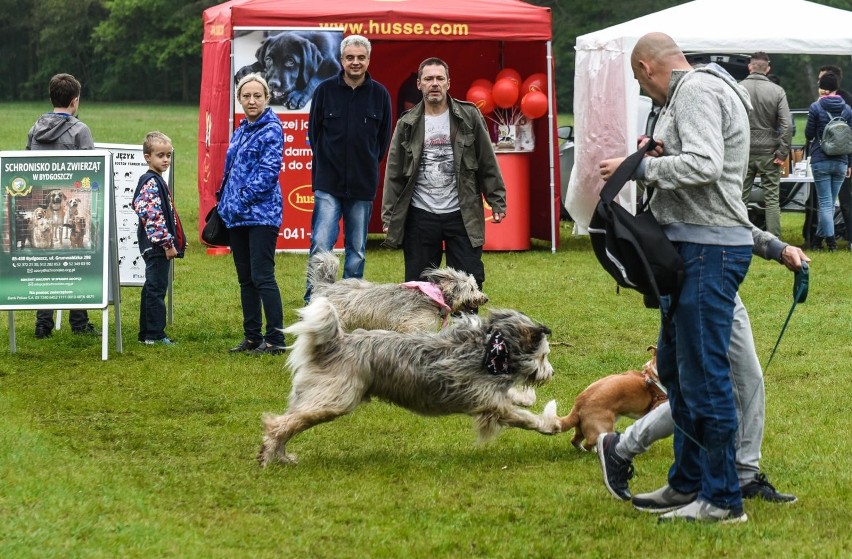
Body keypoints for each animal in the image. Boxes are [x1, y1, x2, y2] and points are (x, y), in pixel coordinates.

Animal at [256, 298, 564, 468]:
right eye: (544, 355)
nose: (550, 374)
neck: (492, 350)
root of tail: (335, 343)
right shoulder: (490, 403)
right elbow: (524, 418)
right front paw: (550, 424)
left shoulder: (488, 391)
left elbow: (514, 395)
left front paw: (527, 396)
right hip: (333, 400)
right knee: (280, 424)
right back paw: (268, 456)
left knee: (289, 421)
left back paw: (282, 457)